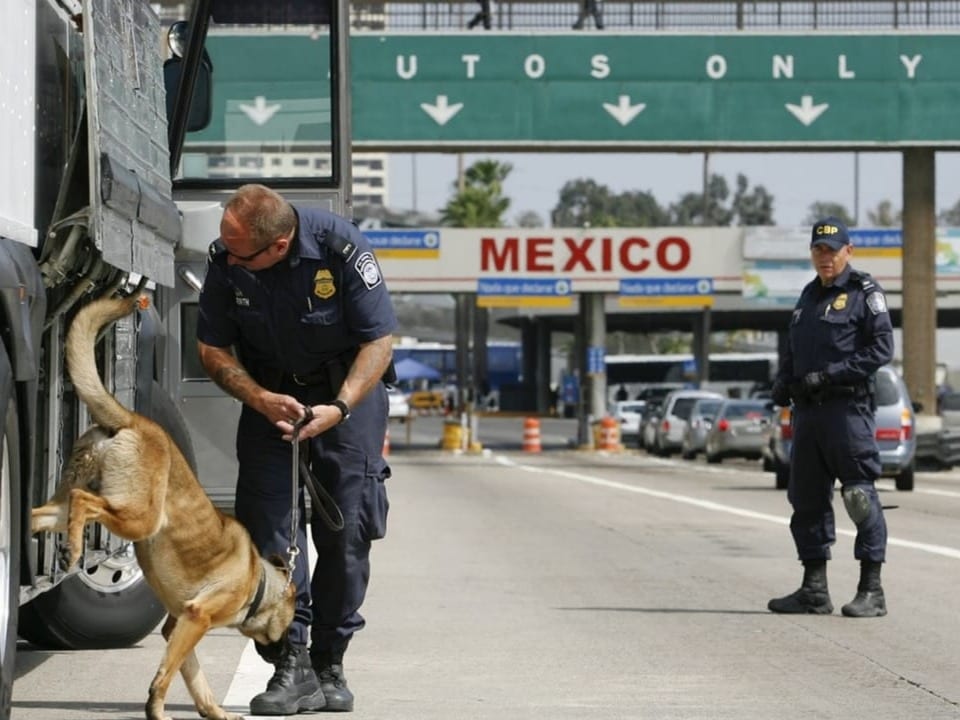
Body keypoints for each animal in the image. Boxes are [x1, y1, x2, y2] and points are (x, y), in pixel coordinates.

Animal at [31, 292, 294, 720]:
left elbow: (193, 677)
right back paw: (73, 548)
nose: (283, 653)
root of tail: (134, 420)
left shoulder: (179, 625)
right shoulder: (196, 619)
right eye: (291, 622)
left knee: (42, 512)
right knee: (85, 503)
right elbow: (167, 675)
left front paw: (214, 712)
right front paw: (157, 710)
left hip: (59, 508)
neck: (256, 582)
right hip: (139, 519)